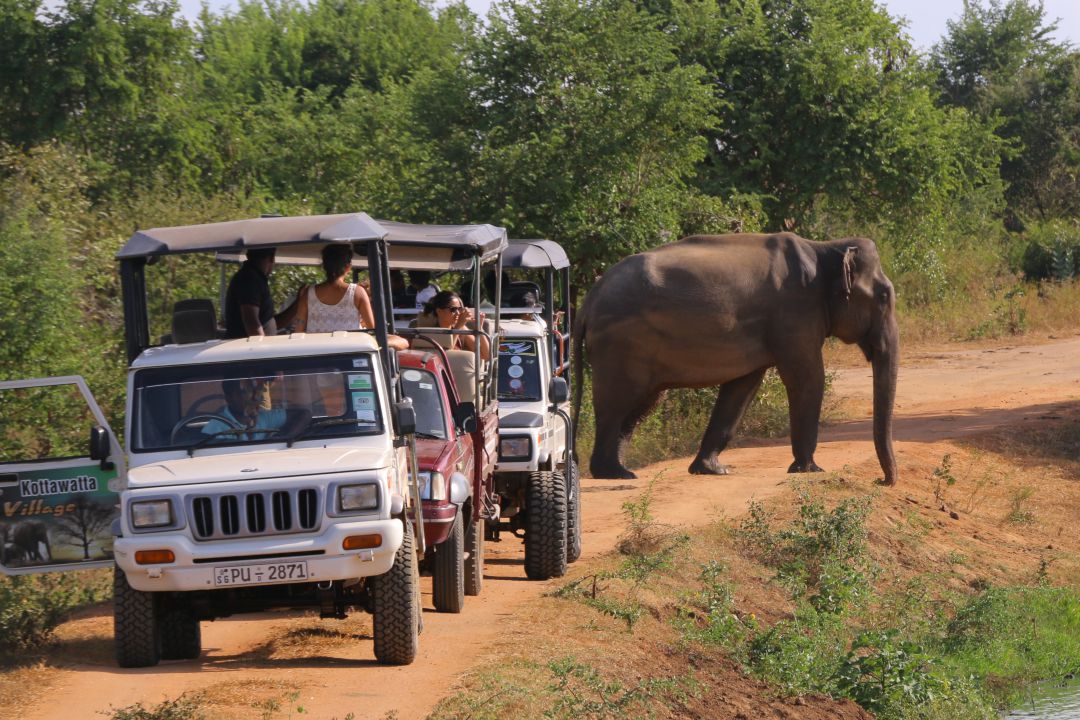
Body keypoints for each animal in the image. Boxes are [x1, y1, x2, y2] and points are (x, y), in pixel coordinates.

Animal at [574, 234, 902, 487]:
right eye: (884, 296)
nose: (882, 481)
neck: (824, 248)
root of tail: (588, 301)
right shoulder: (795, 313)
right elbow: (807, 377)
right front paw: (810, 470)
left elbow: (742, 388)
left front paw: (712, 470)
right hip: (621, 345)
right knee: (619, 402)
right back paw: (612, 474)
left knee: (640, 405)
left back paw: (620, 471)